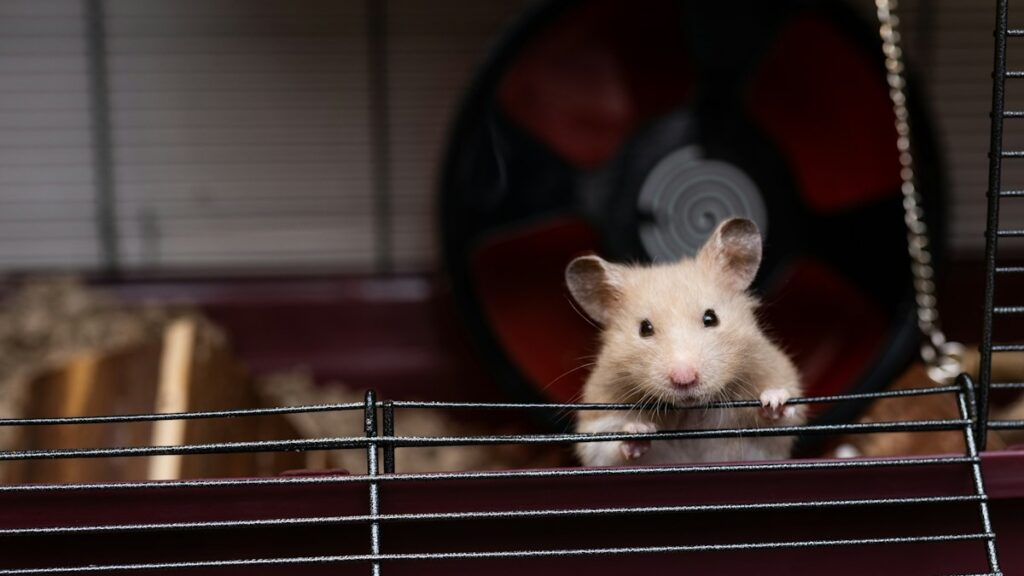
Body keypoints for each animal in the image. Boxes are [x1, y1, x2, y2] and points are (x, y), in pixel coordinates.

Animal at [566, 218, 805, 467]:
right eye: (644, 329)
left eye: (711, 318)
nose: (684, 379)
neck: (689, 412)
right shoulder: (597, 420)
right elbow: (605, 445)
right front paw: (639, 430)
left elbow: (781, 418)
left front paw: (774, 401)